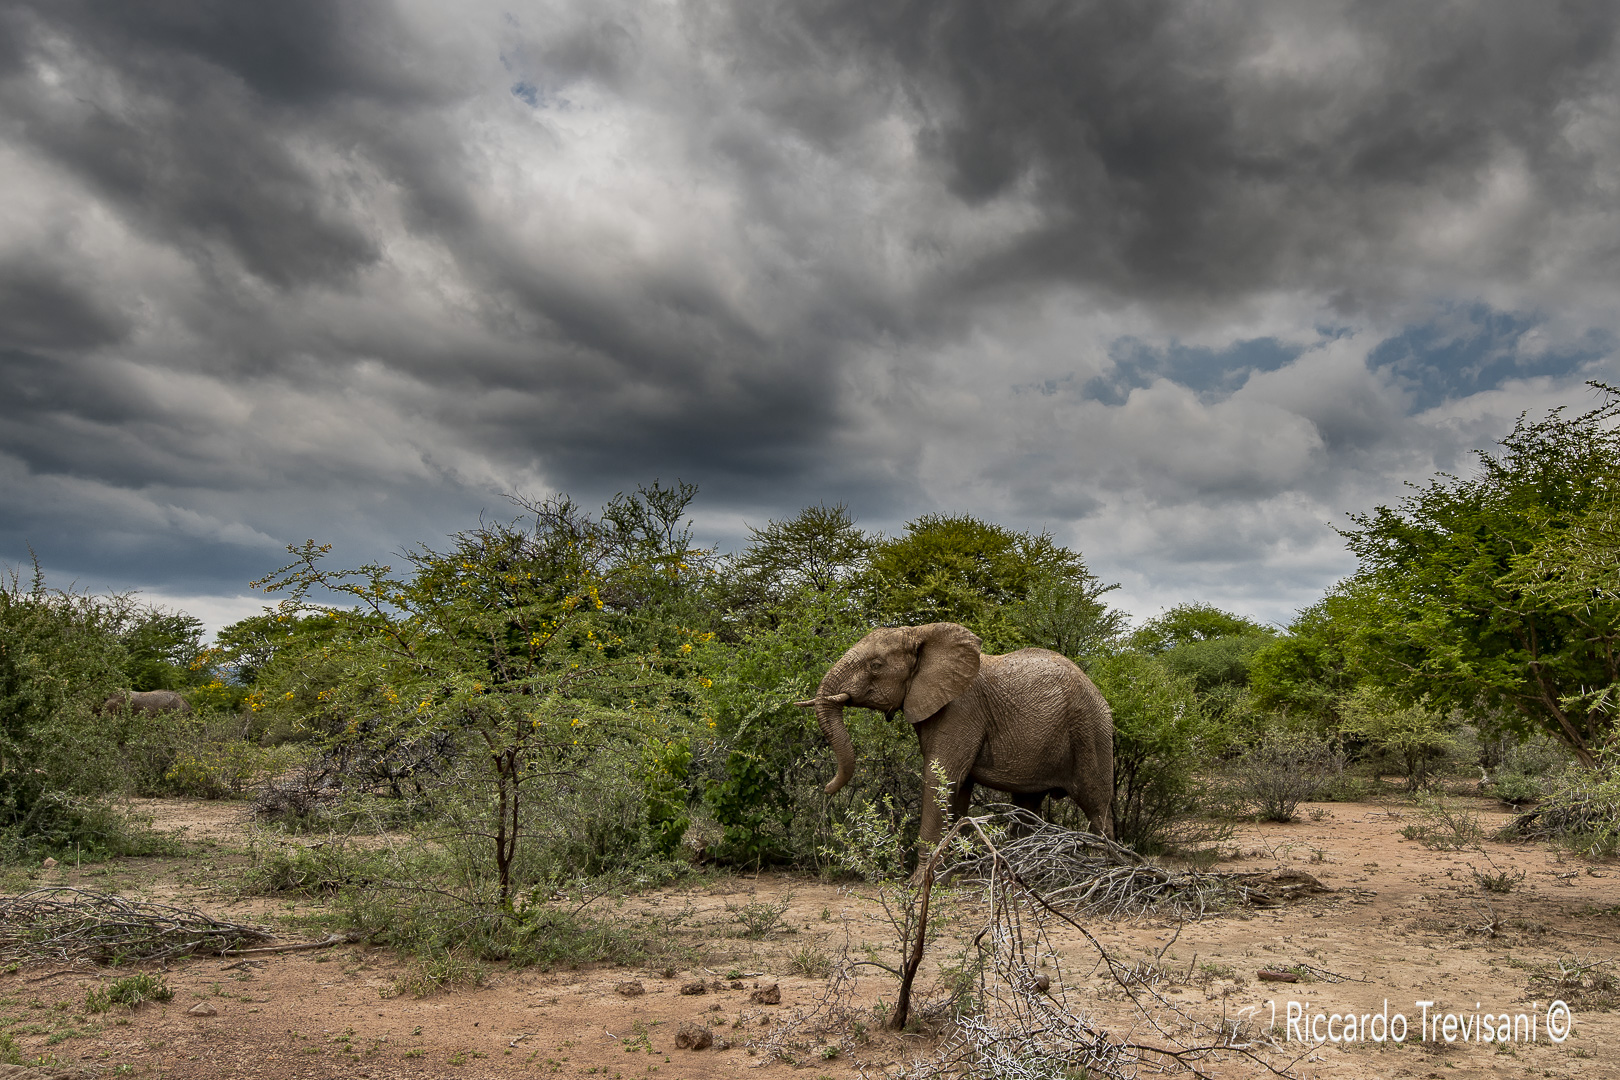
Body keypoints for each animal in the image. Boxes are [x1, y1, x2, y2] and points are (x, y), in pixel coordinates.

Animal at [798, 622, 1113, 846]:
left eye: (875, 665)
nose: (826, 788)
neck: (922, 632)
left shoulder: (962, 709)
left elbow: (941, 778)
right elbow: (957, 791)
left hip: (1091, 731)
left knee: (1097, 806)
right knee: (1027, 806)